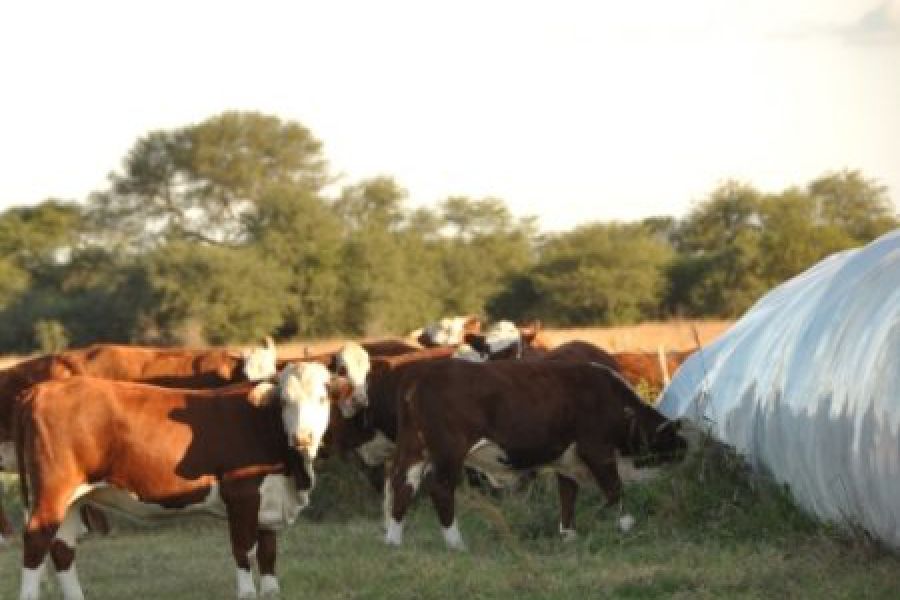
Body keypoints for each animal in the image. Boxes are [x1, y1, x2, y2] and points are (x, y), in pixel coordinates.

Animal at [14, 360, 352, 600]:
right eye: (284, 401)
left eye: (323, 398)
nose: (302, 438)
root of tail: (42, 390)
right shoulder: (241, 494)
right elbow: (244, 549)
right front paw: (246, 592)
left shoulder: (269, 497)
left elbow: (268, 554)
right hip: (52, 492)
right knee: (35, 543)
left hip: (74, 498)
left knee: (62, 549)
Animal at [376, 358, 684, 552]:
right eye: (671, 442)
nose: (684, 453)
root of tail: (422, 372)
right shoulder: (597, 450)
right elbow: (614, 490)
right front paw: (627, 526)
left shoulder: (565, 460)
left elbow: (568, 495)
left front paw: (569, 535)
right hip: (449, 451)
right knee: (439, 489)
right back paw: (456, 543)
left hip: (414, 448)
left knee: (400, 485)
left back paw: (393, 541)